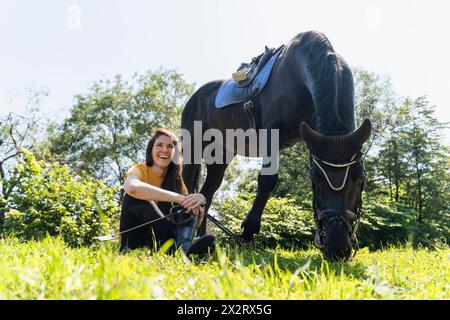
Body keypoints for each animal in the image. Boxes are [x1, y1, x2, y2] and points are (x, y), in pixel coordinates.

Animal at [181, 30, 370, 260]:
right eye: (316, 180)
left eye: (360, 180)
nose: (338, 249)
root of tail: (195, 97)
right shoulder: (272, 133)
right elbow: (268, 180)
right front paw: (247, 232)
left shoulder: (312, 138)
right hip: (192, 147)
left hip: (221, 156)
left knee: (206, 196)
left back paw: (201, 239)